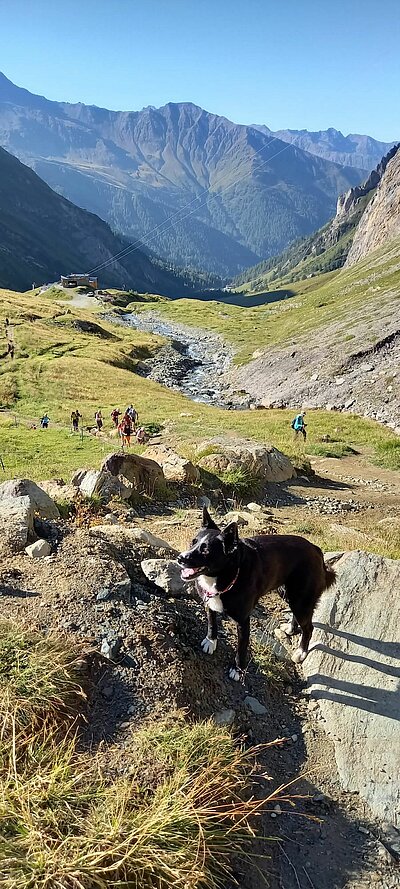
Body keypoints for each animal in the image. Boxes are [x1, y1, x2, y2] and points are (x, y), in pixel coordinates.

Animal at [178, 506, 334, 680]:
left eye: (206, 550)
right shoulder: (209, 603)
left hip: (301, 599)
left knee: (309, 628)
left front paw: (238, 670)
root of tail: (316, 549)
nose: (180, 558)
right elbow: (212, 624)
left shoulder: (243, 621)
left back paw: (301, 652)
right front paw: (211, 641)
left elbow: (241, 648)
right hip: (289, 595)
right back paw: (291, 629)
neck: (229, 573)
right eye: (193, 542)